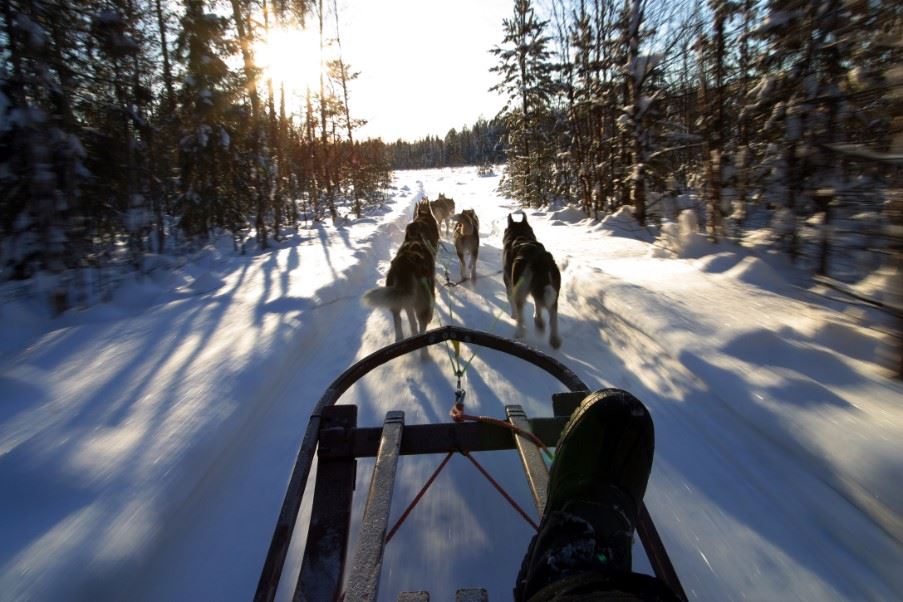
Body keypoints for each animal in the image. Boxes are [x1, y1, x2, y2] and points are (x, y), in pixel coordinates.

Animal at [504, 213, 560, 350]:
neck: (520, 235)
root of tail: (538, 259)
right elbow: (538, 305)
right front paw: (538, 320)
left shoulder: (509, 284)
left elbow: (512, 303)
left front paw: (513, 315)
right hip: (552, 292)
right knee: (553, 317)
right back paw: (553, 338)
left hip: (519, 289)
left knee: (520, 315)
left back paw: (519, 333)